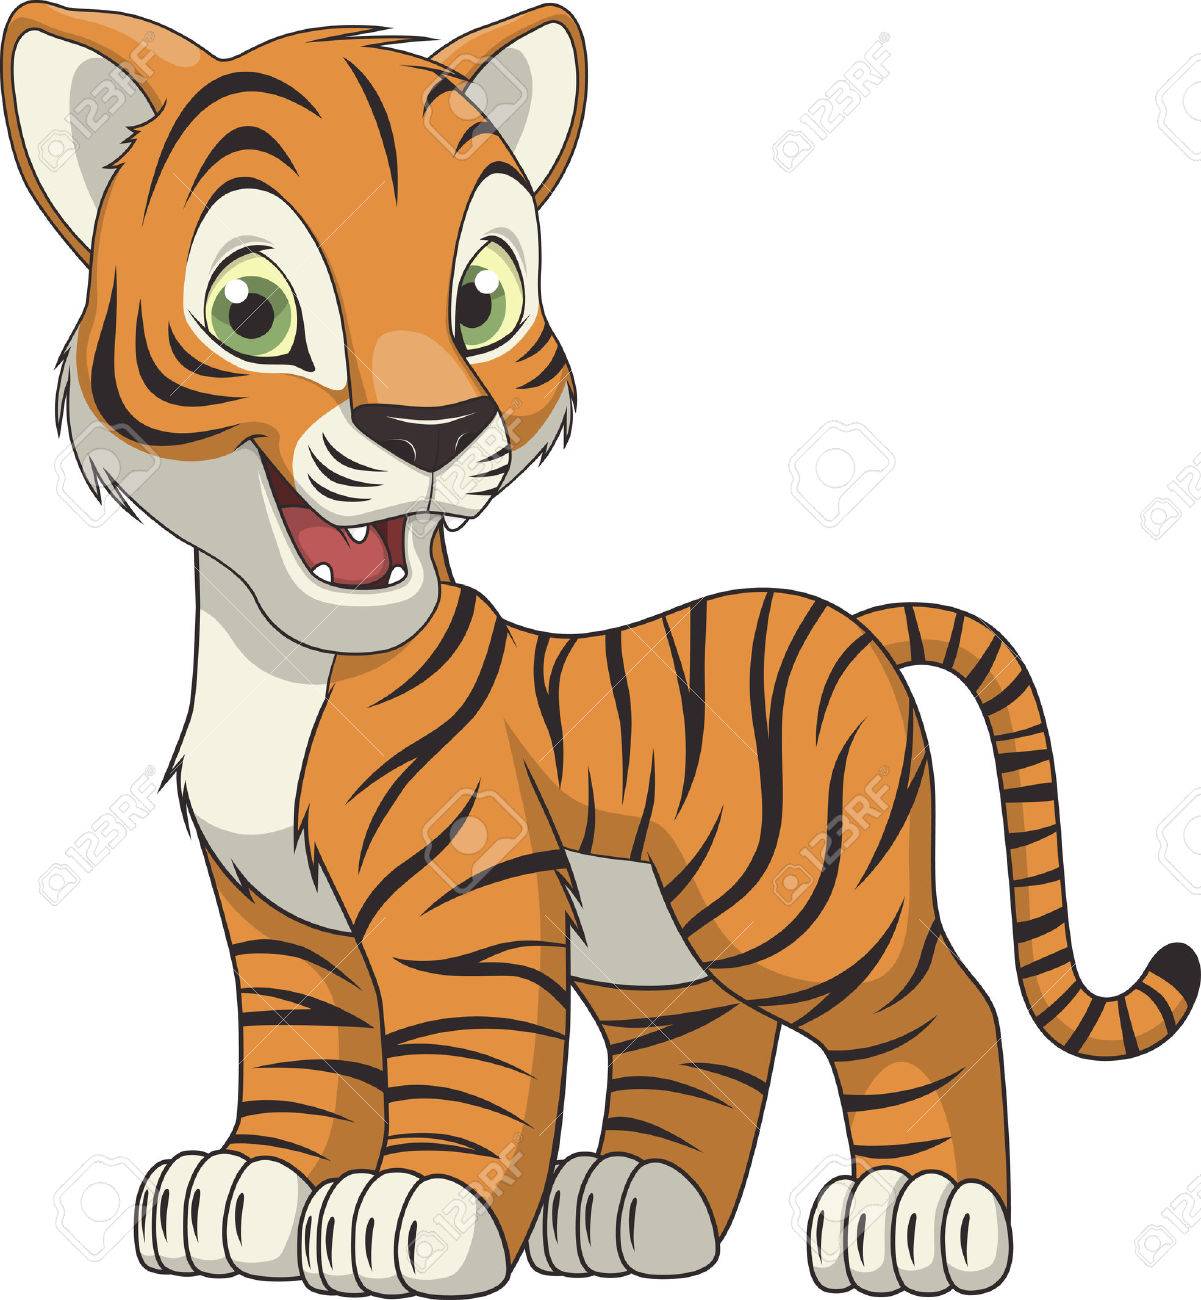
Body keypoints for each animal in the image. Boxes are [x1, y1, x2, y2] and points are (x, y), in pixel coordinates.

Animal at [5, 2, 1197, 1296]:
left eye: (481, 298)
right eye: (252, 313)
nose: (432, 430)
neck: (278, 664)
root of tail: (854, 620)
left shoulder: (465, 894)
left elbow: (466, 1064)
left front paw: (416, 1210)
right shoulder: (280, 922)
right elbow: (303, 1062)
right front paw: (244, 1187)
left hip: (811, 912)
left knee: (941, 1010)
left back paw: (921, 1210)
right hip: (656, 951)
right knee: (708, 1043)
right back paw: (636, 1199)